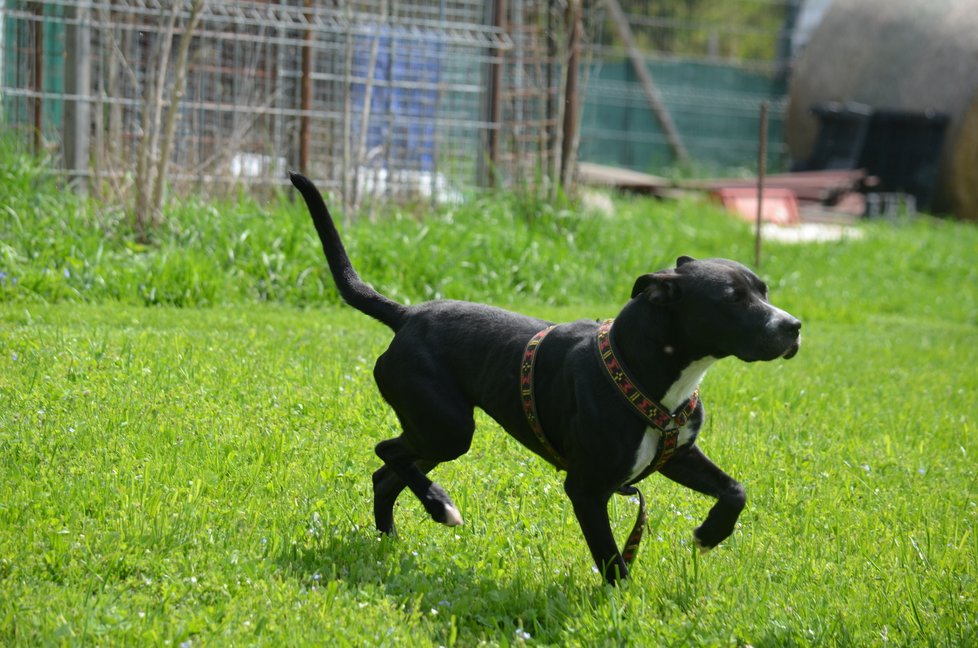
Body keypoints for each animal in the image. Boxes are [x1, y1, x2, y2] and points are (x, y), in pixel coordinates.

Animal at [290, 172, 800, 584]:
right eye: (732, 299)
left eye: (764, 290)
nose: (793, 326)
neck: (646, 373)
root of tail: (407, 315)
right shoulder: (586, 489)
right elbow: (613, 560)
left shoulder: (678, 455)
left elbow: (735, 490)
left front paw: (711, 534)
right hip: (447, 426)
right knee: (387, 453)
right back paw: (440, 505)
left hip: (433, 432)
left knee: (386, 473)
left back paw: (391, 538)